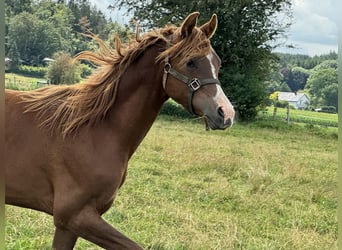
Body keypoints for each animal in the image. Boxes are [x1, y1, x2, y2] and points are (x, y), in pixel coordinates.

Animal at [4, 12, 235, 249]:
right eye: (191, 62)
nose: (226, 114)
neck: (95, 130)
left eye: (217, 63)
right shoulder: (74, 216)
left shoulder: (67, 225)